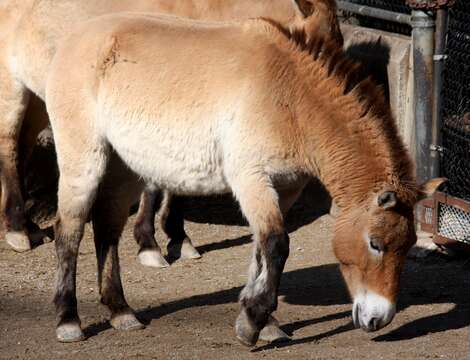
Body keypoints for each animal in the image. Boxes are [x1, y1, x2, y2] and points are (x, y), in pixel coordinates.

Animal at [0, 0, 342, 266]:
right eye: (317, 53)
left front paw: (177, 236)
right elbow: (154, 184)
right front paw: (148, 243)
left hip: (40, 97)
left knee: (23, 148)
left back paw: (27, 224)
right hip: (12, 88)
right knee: (9, 147)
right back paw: (18, 231)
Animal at [45, 12, 444, 344]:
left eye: (409, 245)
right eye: (375, 243)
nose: (379, 319)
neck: (289, 99)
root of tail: (72, 40)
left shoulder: (285, 189)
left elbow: (260, 250)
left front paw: (262, 321)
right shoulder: (251, 181)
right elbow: (277, 245)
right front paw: (253, 322)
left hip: (125, 167)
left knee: (107, 228)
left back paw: (120, 312)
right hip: (84, 159)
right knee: (70, 229)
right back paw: (68, 321)